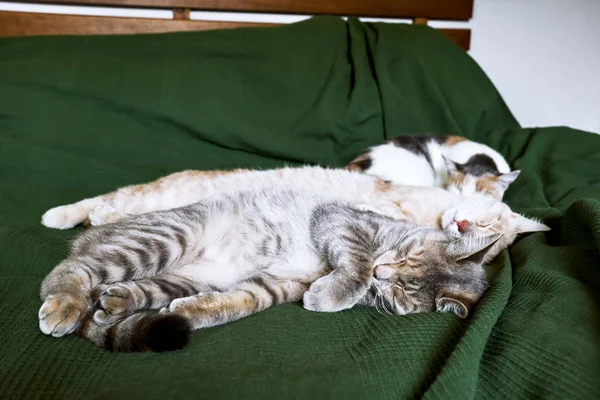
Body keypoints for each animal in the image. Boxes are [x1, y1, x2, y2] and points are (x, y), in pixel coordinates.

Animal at [38, 187, 502, 350]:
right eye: (406, 256)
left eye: (403, 292)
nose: (381, 276)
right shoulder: (340, 220)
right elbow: (355, 260)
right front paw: (341, 289)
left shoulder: (276, 285)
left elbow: (236, 303)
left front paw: (194, 312)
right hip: (165, 238)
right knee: (72, 268)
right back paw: (64, 304)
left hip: (183, 276)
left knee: (135, 289)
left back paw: (117, 302)